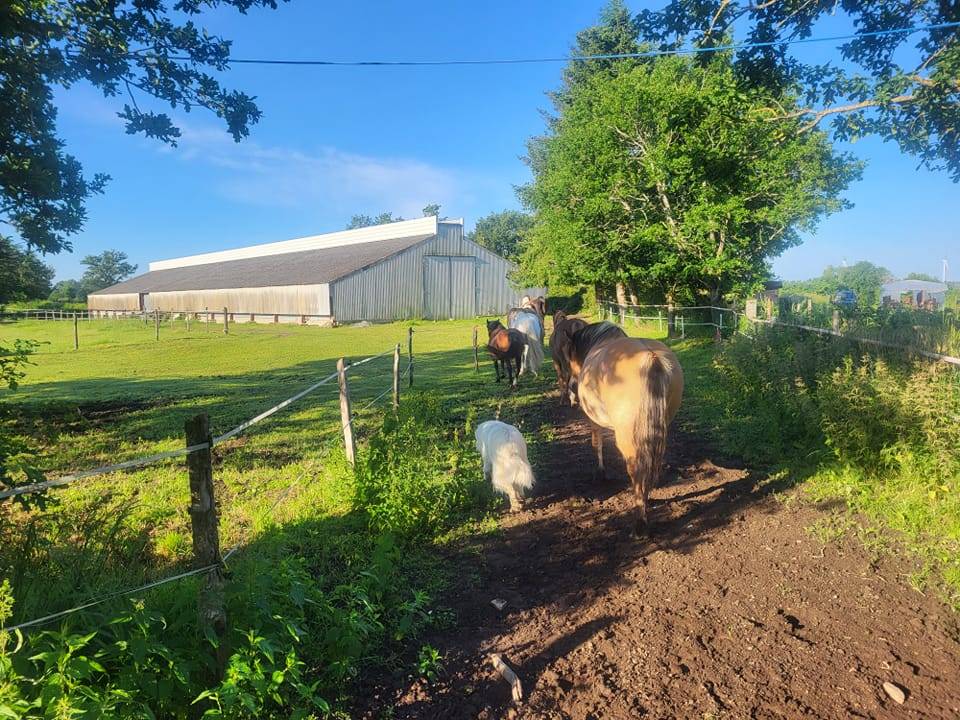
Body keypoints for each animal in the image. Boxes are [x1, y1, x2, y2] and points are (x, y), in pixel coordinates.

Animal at [569, 322, 684, 536]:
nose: (572, 386)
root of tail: (651, 358)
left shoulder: (593, 421)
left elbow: (597, 444)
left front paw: (600, 473)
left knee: (637, 469)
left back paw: (640, 523)